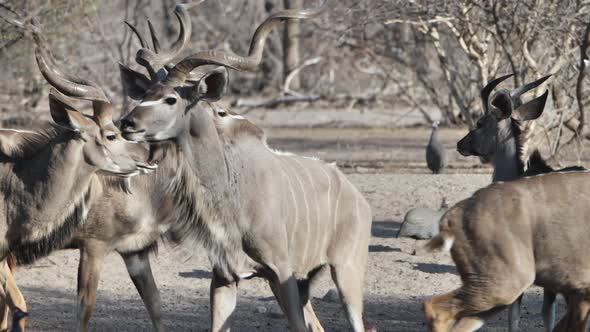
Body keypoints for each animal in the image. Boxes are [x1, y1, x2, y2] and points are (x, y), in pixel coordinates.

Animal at [119, 1, 374, 330]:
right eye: (146, 94)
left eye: (171, 99)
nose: (127, 123)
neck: (231, 192)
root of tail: (358, 198)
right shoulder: (225, 277)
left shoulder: (281, 272)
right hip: (306, 279)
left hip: (346, 272)